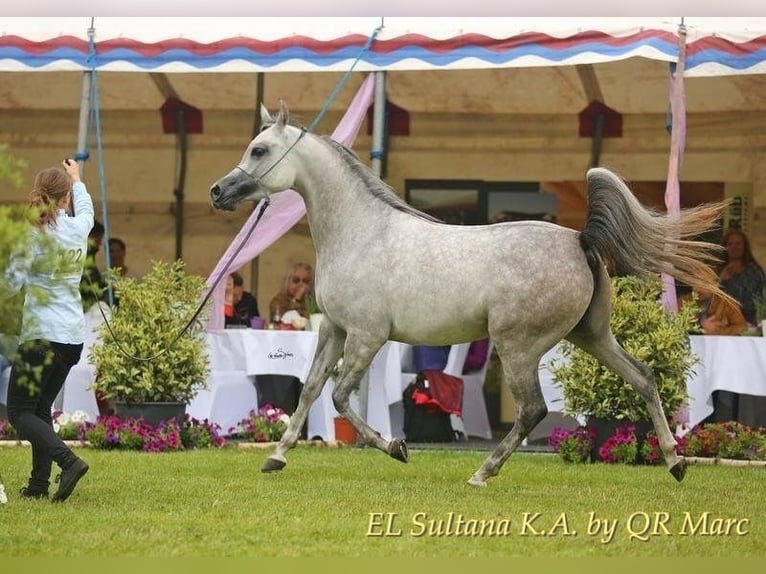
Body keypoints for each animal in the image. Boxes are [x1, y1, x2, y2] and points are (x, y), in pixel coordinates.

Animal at [212, 101, 732, 488]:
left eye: (259, 149)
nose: (219, 191)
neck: (361, 232)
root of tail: (580, 240)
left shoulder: (366, 335)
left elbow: (339, 397)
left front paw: (397, 448)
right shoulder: (335, 331)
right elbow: (311, 389)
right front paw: (276, 457)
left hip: (518, 346)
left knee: (533, 410)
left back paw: (482, 472)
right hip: (593, 336)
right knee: (644, 378)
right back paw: (675, 462)